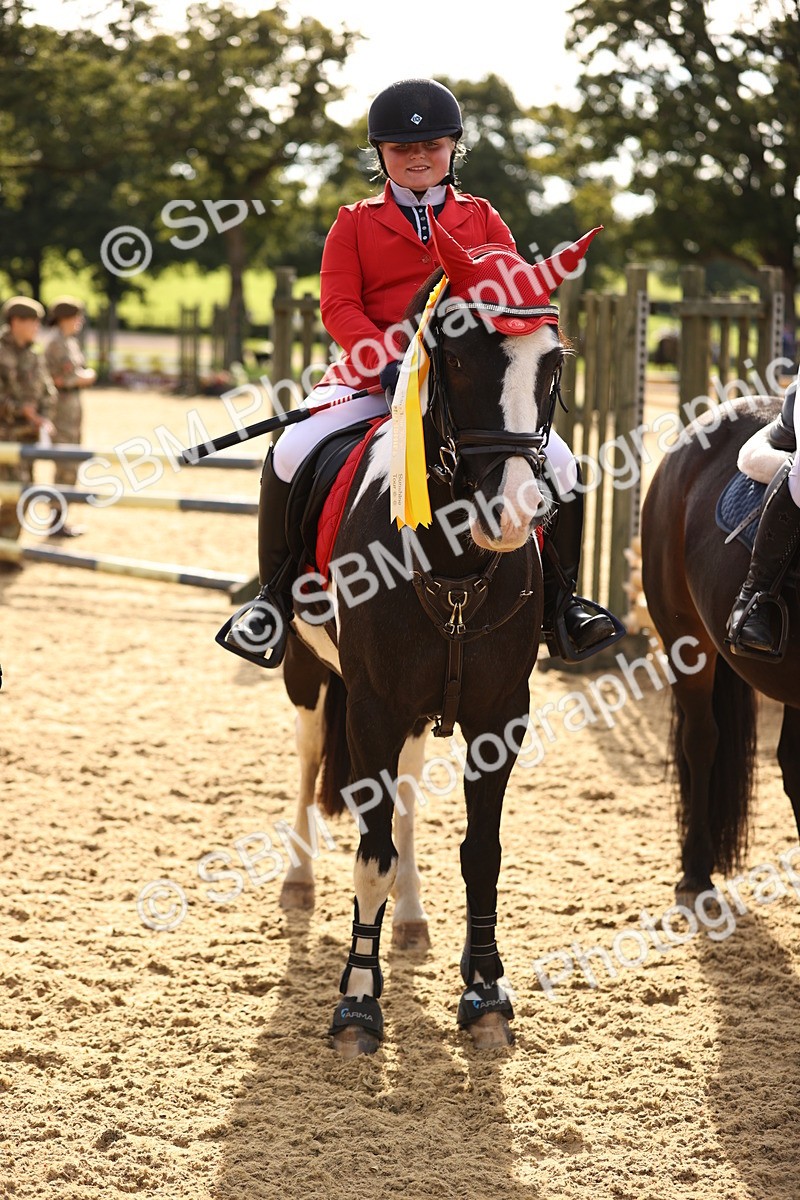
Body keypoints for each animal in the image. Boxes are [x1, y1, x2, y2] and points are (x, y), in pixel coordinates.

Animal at [268, 217, 600, 1057]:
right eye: (453, 355)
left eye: (553, 363)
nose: (511, 512)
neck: (452, 564)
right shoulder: (373, 708)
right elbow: (371, 856)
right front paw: (358, 1001)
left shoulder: (498, 714)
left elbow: (480, 854)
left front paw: (485, 992)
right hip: (310, 680)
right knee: (310, 762)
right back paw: (299, 881)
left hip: (419, 714)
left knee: (410, 802)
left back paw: (412, 923)